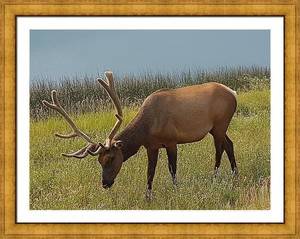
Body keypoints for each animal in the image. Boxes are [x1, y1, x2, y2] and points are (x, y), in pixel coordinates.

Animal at [43, 71, 238, 200]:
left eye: (111, 158)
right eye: (99, 160)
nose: (105, 183)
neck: (147, 128)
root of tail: (233, 92)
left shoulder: (171, 140)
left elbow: (172, 169)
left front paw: (176, 190)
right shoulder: (151, 146)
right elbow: (150, 172)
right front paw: (148, 197)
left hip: (220, 123)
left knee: (219, 149)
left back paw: (216, 177)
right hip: (217, 128)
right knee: (229, 144)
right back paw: (235, 173)